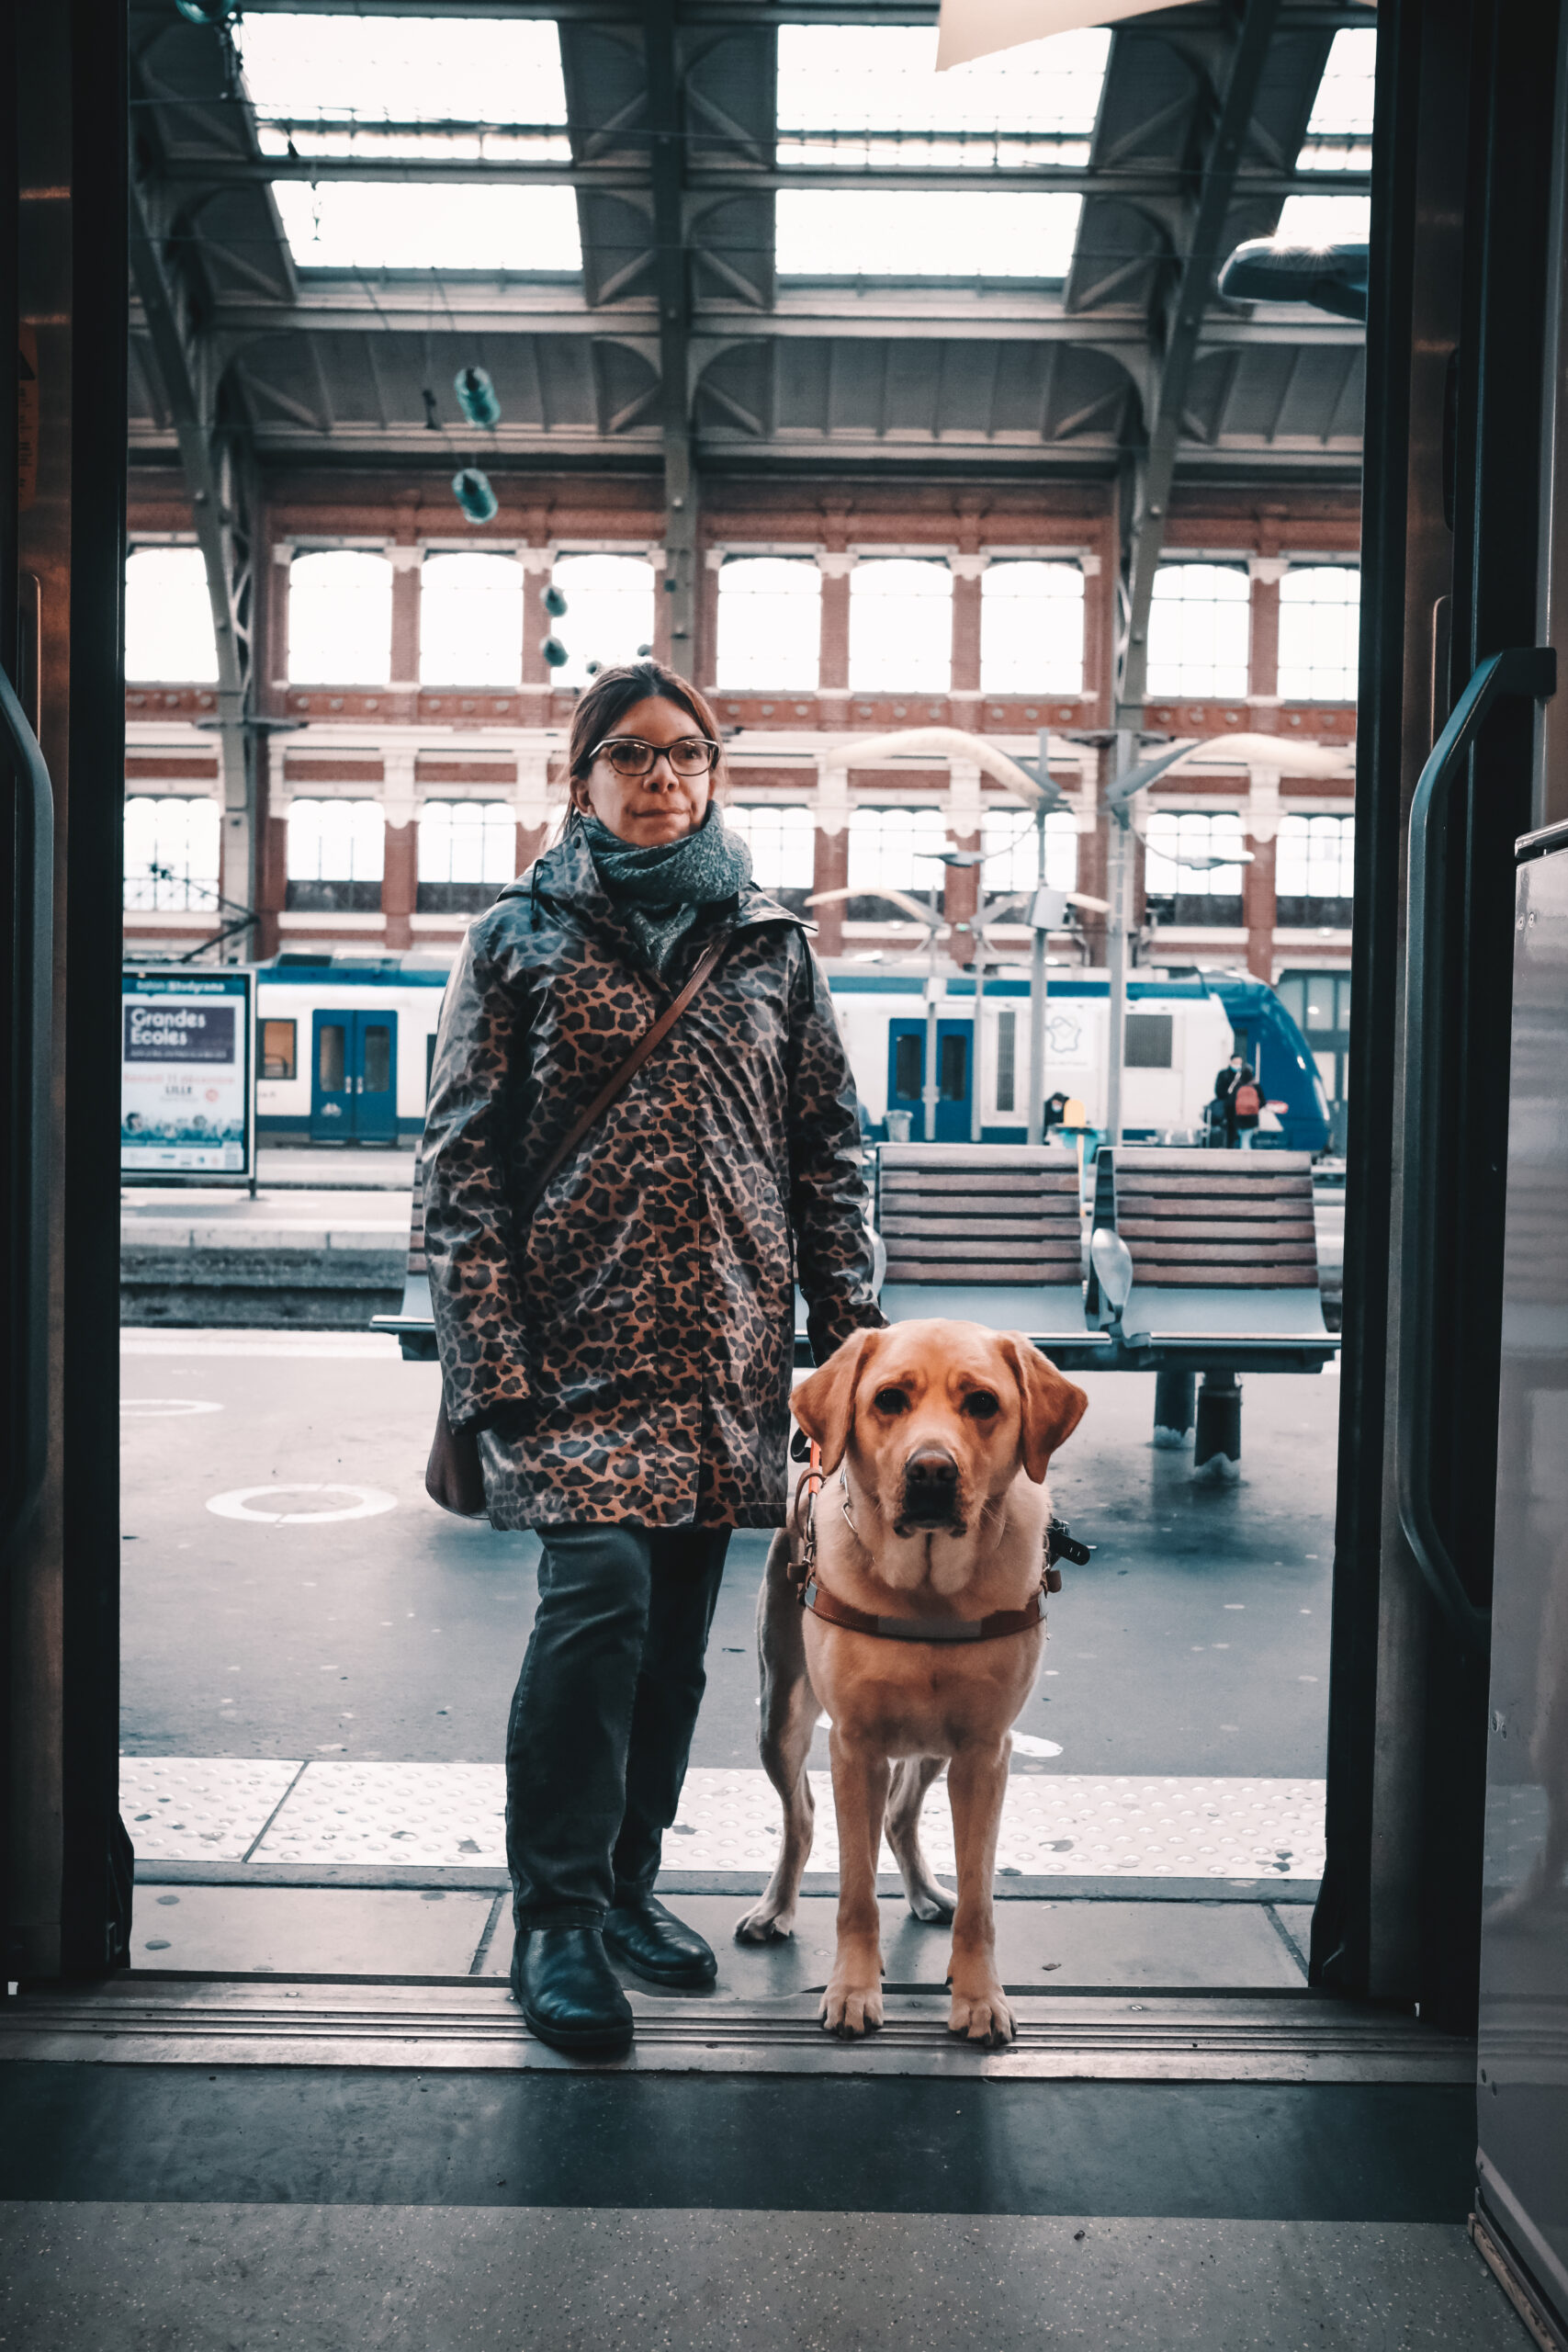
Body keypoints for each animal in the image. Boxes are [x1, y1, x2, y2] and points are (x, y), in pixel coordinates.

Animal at [733, 1326, 1081, 2041]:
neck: (928, 1593)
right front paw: (852, 1992)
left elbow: (979, 1897)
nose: (931, 1471)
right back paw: (775, 1907)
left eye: (983, 1403)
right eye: (889, 1399)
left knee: (898, 1816)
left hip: (935, 1745)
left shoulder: (985, 1753)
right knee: (802, 1817)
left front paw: (979, 1999)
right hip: (778, 1717)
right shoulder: (854, 1748)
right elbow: (855, 1893)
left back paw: (924, 1893)